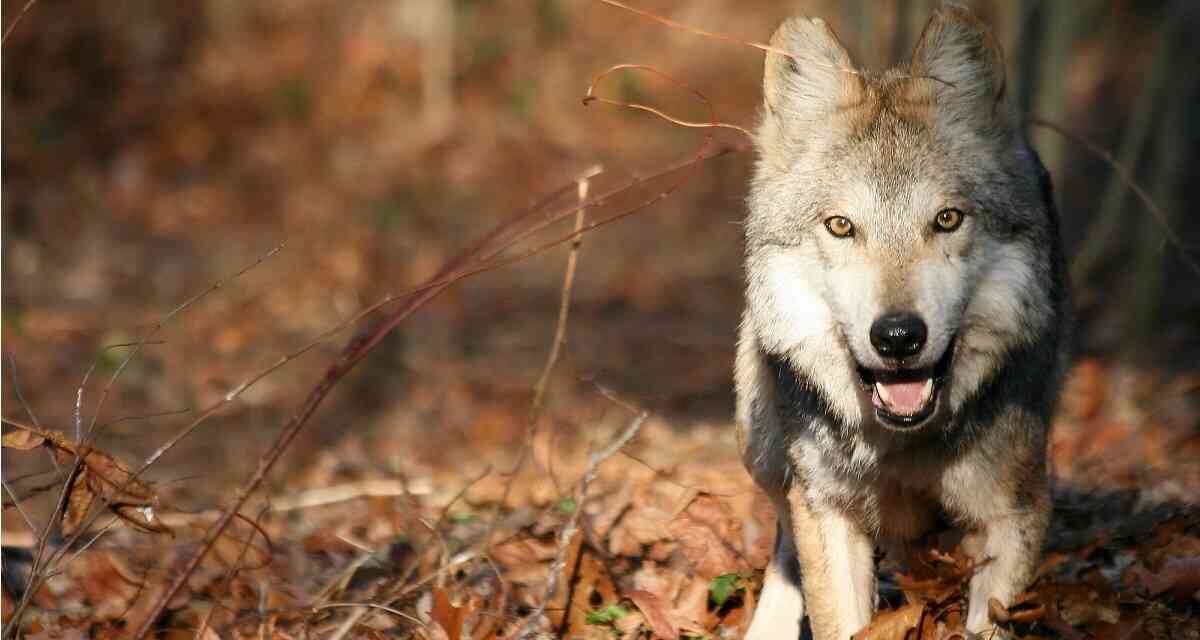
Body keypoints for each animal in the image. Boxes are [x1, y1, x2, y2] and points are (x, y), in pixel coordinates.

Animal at [735, 5, 1070, 639]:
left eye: (947, 219)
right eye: (841, 226)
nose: (897, 337)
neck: (903, 443)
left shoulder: (1016, 511)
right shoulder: (828, 510)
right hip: (764, 448)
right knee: (785, 537)